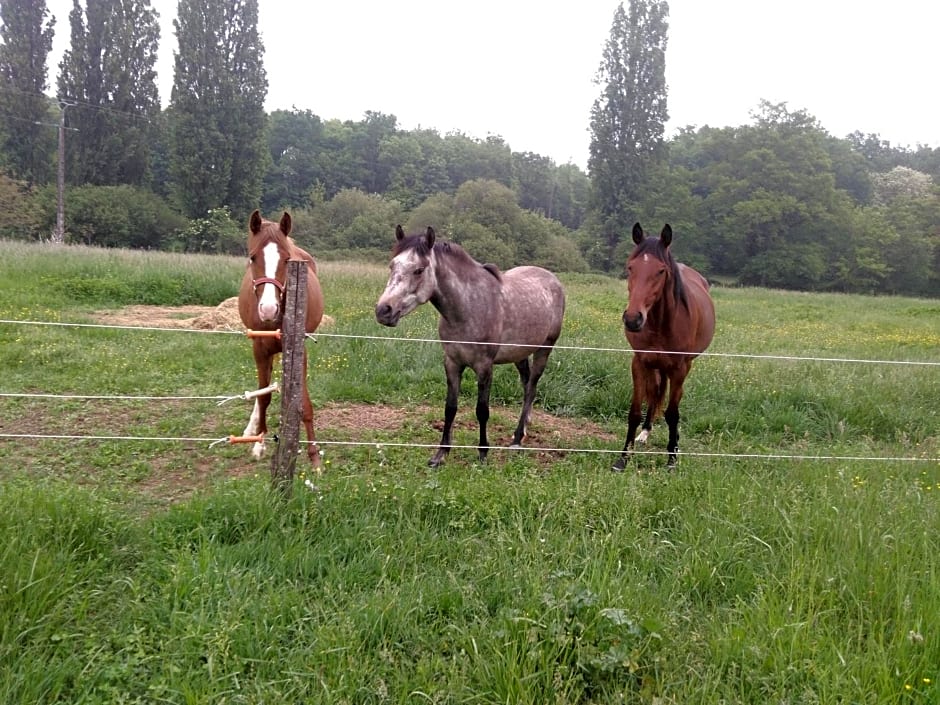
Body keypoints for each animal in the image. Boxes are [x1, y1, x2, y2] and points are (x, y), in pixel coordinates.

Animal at [239, 206, 326, 464]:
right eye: (252, 257)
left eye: (287, 259)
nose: (269, 309)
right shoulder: (259, 348)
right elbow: (264, 396)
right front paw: (259, 442)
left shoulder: (299, 350)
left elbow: (303, 402)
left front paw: (314, 456)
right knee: (263, 388)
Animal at [374, 227, 564, 468]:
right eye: (392, 266)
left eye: (419, 270)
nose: (383, 310)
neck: (468, 307)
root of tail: (553, 279)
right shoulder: (452, 363)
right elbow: (450, 408)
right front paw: (440, 455)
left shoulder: (484, 367)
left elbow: (482, 410)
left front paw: (483, 454)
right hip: (519, 353)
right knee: (526, 384)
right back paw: (524, 427)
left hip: (544, 349)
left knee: (532, 387)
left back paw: (517, 438)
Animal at [612, 223, 716, 470]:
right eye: (630, 267)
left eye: (660, 271)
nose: (633, 319)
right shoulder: (639, 362)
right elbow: (635, 411)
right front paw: (623, 458)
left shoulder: (679, 368)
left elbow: (672, 414)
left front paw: (671, 459)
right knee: (655, 393)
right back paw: (645, 433)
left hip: (681, 368)